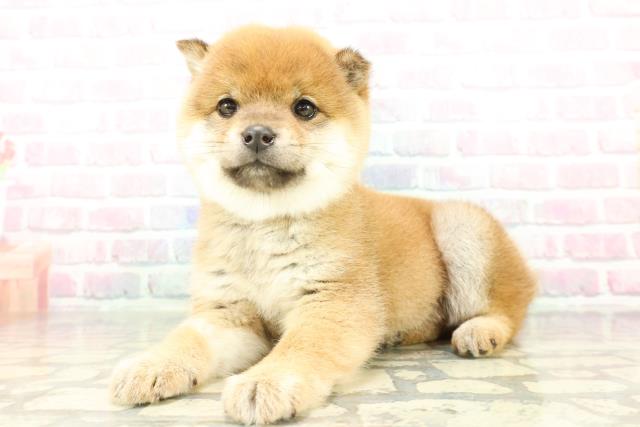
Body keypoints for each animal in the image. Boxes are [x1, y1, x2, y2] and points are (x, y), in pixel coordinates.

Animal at [110, 25, 537, 425]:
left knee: (506, 309)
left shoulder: (333, 300)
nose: (257, 134)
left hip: (462, 228)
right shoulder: (230, 313)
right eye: (227, 106)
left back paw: (479, 332)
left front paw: (265, 381)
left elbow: (301, 347)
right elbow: (187, 339)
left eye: (304, 108)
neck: (266, 223)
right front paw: (149, 365)